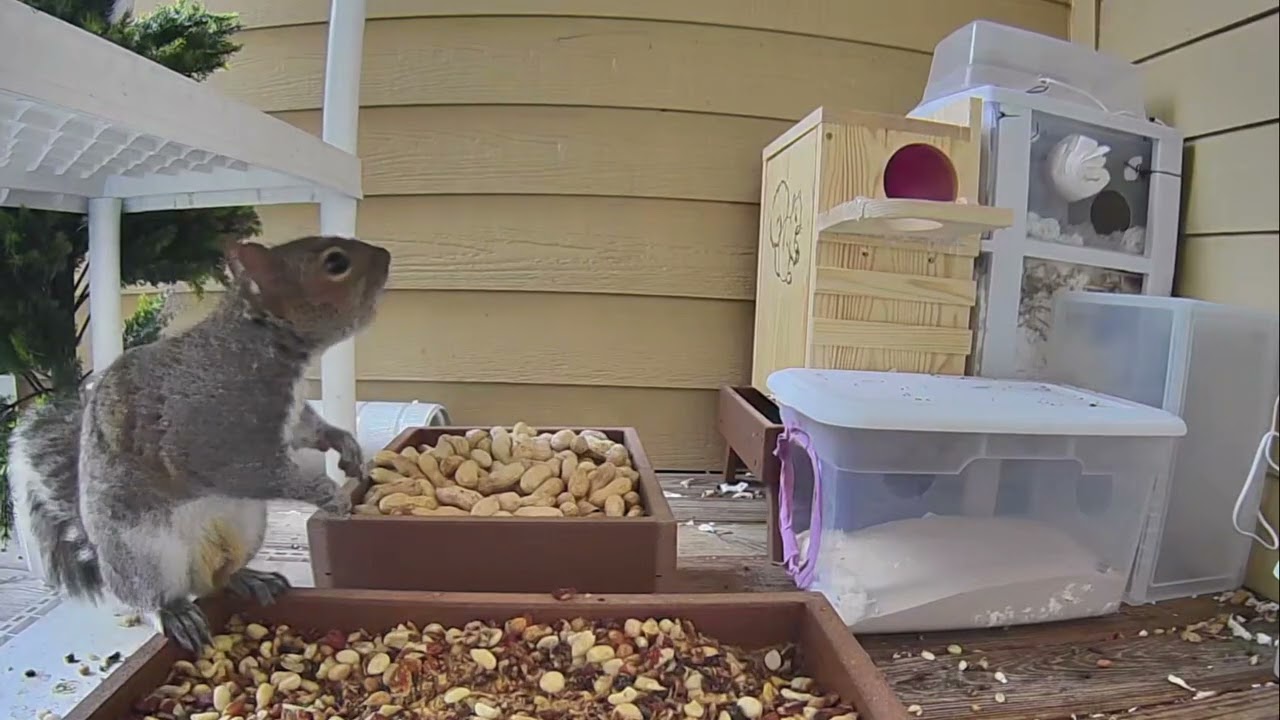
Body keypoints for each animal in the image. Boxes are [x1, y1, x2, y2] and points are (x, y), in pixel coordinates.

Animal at [8, 235, 390, 652]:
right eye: (335, 263)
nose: (386, 257)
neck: (258, 343)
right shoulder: (218, 439)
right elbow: (263, 474)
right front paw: (327, 494)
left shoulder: (289, 416)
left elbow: (309, 429)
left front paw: (344, 443)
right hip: (144, 557)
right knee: (149, 598)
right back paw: (173, 613)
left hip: (246, 528)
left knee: (218, 580)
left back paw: (249, 578)